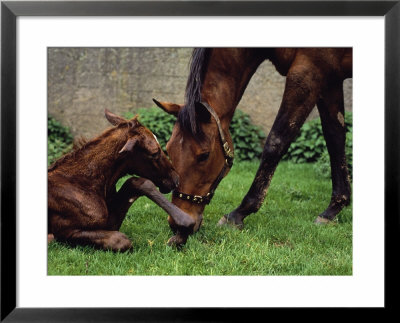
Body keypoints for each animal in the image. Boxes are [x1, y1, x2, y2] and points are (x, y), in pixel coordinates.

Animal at [47, 111, 195, 253]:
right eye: (154, 153)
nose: (176, 179)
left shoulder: (108, 223)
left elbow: (136, 182)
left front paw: (182, 233)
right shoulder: (65, 231)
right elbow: (122, 240)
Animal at [155, 47, 352, 246]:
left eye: (204, 155)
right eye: (169, 150)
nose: (177, 224)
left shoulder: (308, 74)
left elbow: (276, 141)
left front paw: (238, 213)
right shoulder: (330, 80)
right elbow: (335, 138)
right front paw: (334, 207)